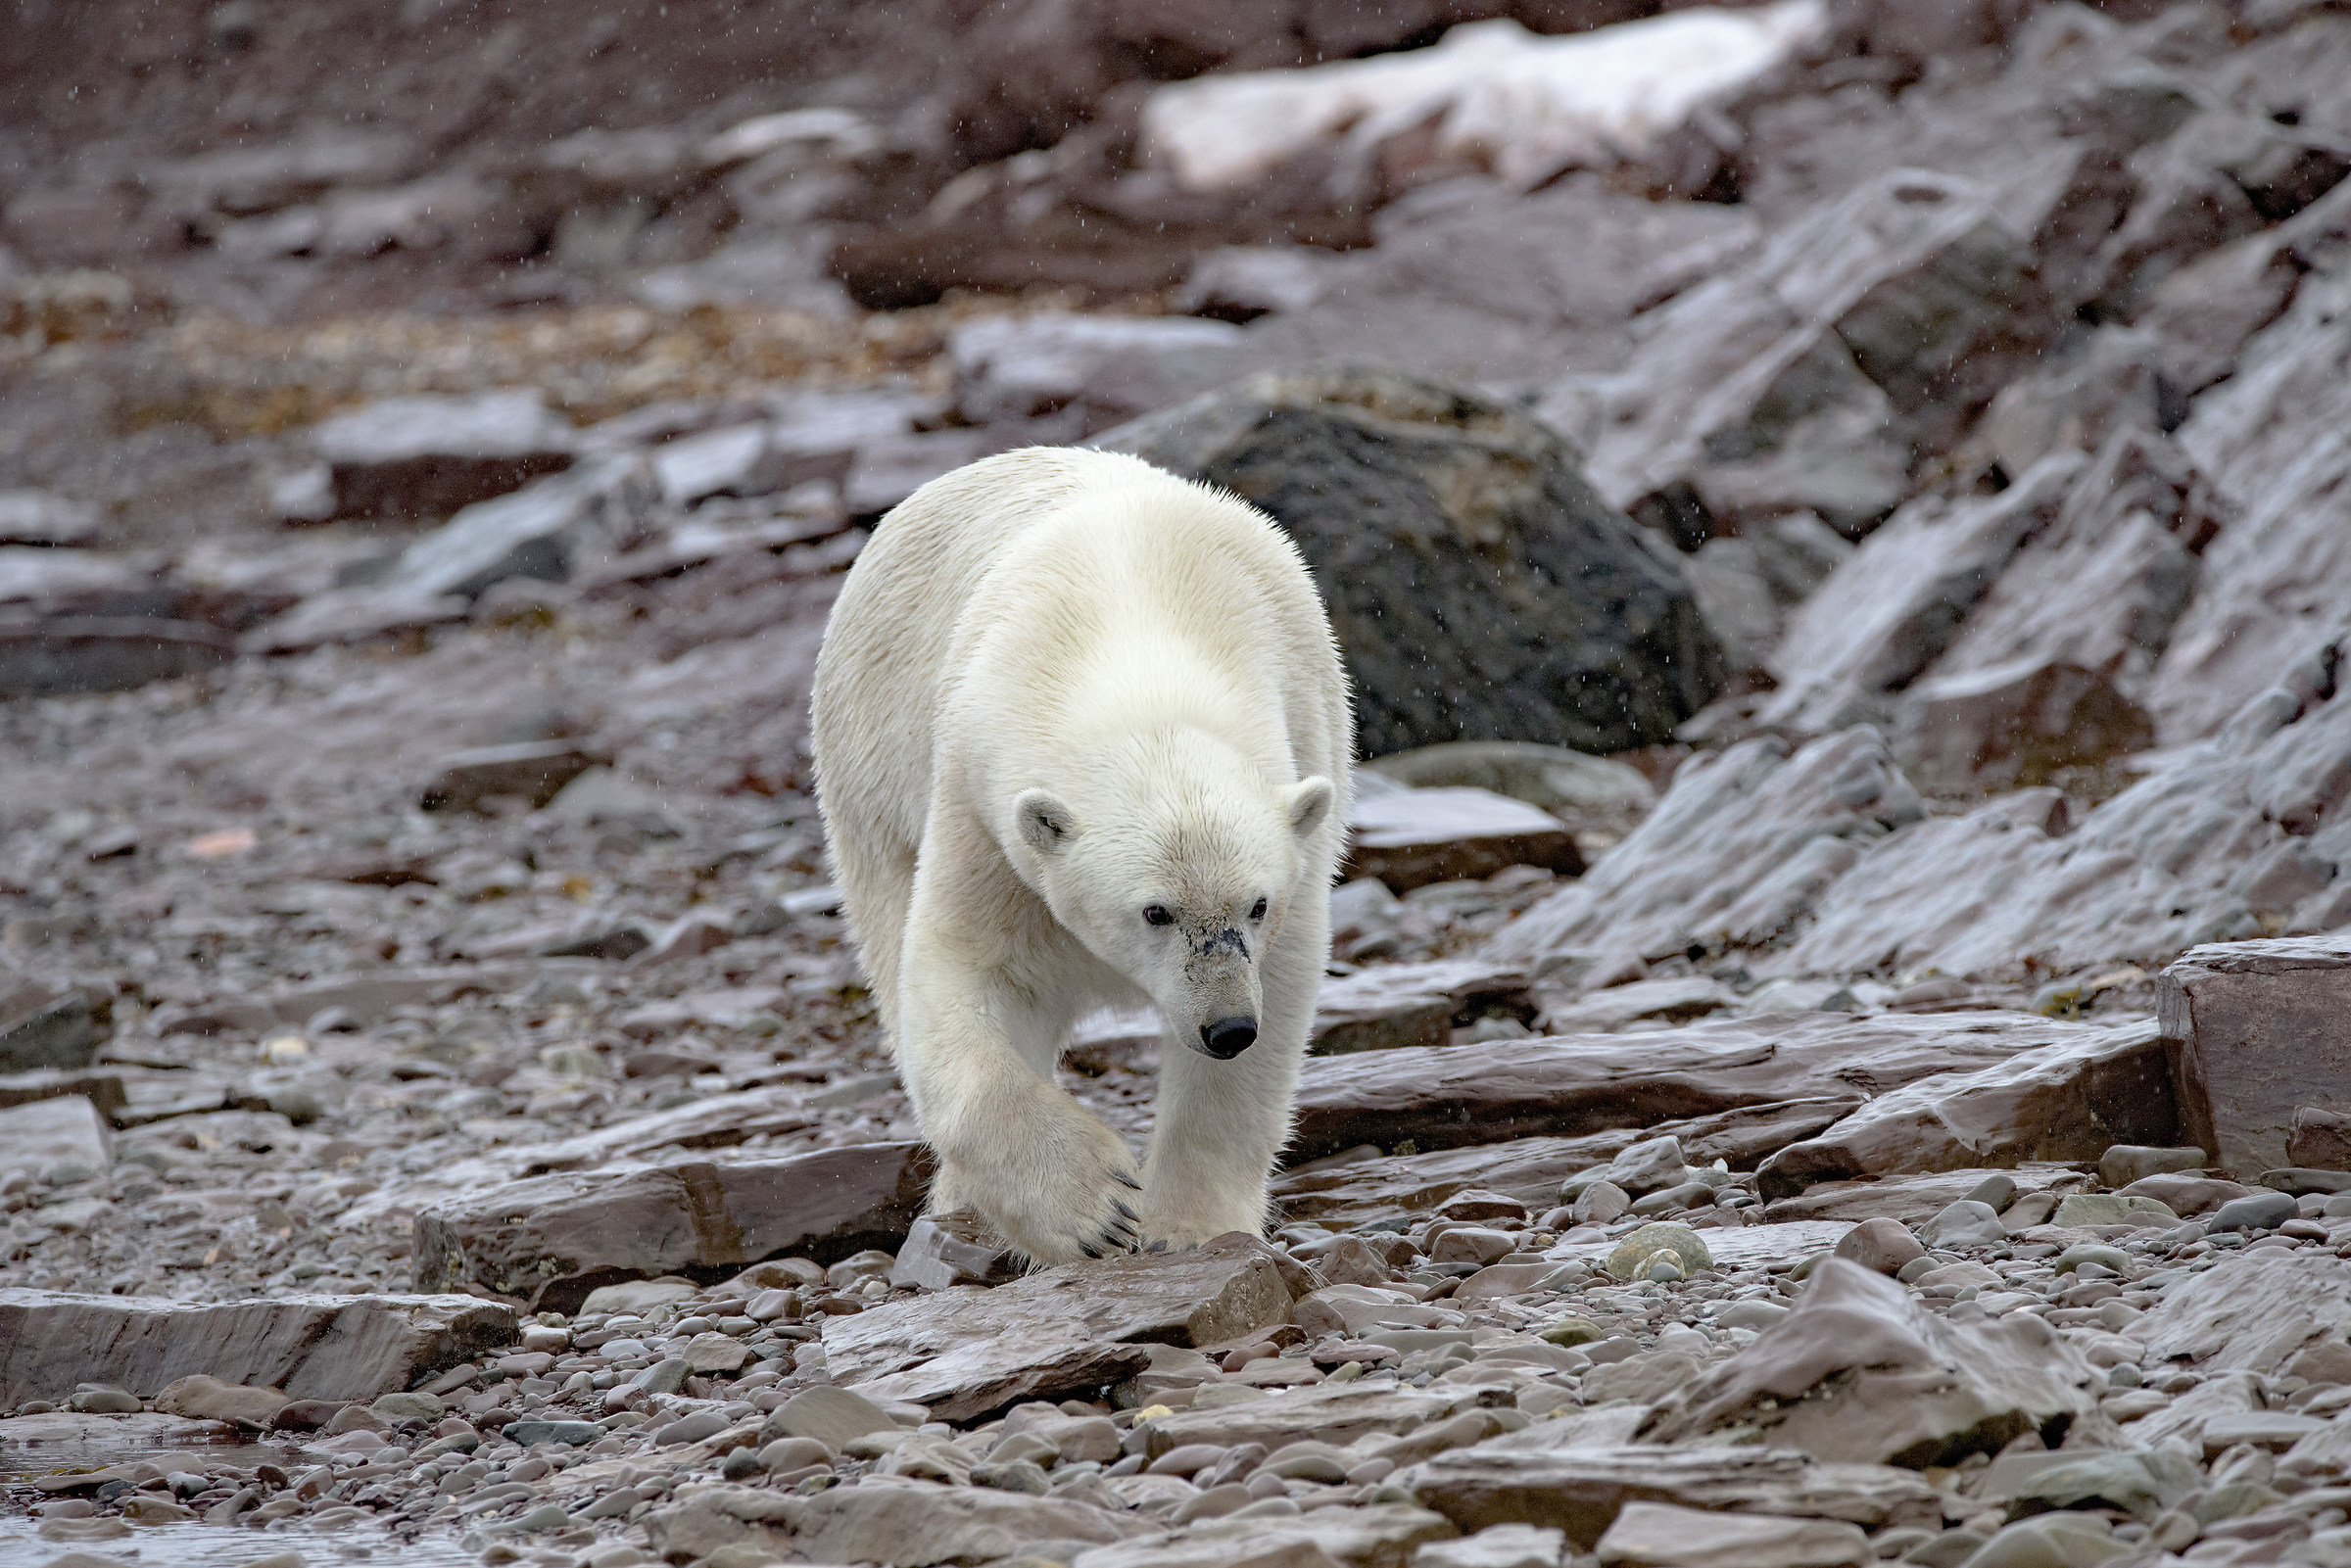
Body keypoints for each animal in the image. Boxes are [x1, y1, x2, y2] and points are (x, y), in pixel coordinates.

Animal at [810, 446, 1351, 1265]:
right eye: (1155, 911)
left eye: (1256, 904)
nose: (1226, 1026)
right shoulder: (980, 802)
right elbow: (964, 970)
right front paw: (1096, 1207)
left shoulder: (1304, 737)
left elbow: (1282, 988)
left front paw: (1187, 1228)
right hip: (867, 769)